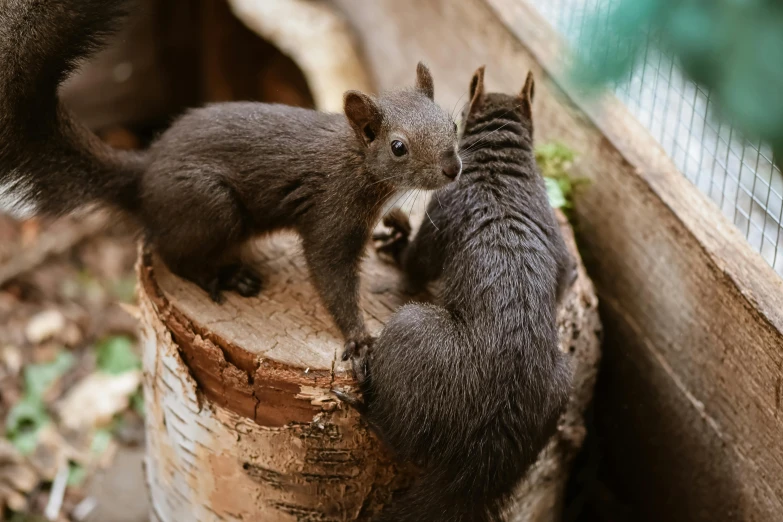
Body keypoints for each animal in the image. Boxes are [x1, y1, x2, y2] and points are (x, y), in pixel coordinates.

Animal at [0, 0, 462, 356]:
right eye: (398, 147)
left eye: (452, 124)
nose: (453, 167)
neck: (357, 163)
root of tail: (143, 175)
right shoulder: (331, 214)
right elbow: (330, 276)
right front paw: (359, 338)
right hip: (211, 205)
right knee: (172, 254)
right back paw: (223, 276)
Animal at [340, 66, 580, 520]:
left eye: (456, 123)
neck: (502, 166)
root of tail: (485, 450)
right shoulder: (557, 243)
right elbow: (565, 278)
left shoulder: (444, 210)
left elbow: (416, 264)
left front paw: (398, 239)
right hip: (561, 387)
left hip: (412, 333)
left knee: (398, 438)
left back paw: (364, 398)